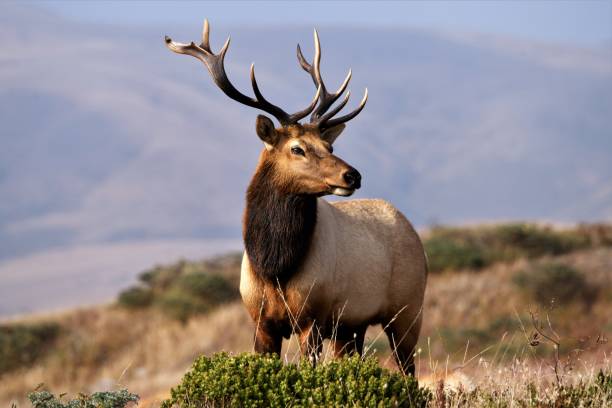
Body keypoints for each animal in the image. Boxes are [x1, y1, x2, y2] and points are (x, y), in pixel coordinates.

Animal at [165, 20, 428, 374]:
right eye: (297, 148)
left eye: (329, 145)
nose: (353, 175)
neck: (274, 266)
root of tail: (414, 234)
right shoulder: (262, 323)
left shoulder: (311, 318)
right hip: (351, 327)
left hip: (407, 312)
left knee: (409, 372)